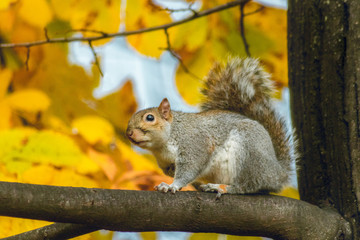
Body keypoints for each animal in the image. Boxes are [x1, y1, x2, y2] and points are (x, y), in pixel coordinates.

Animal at [125, 57, 296, 196]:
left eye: (150, 117)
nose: (129, 133)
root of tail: (279, 173)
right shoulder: (167, 164)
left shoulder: (195, 144)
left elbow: (189, 169)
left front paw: (172, 185)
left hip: (249, 153)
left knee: (249, 185)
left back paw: (222, 187)